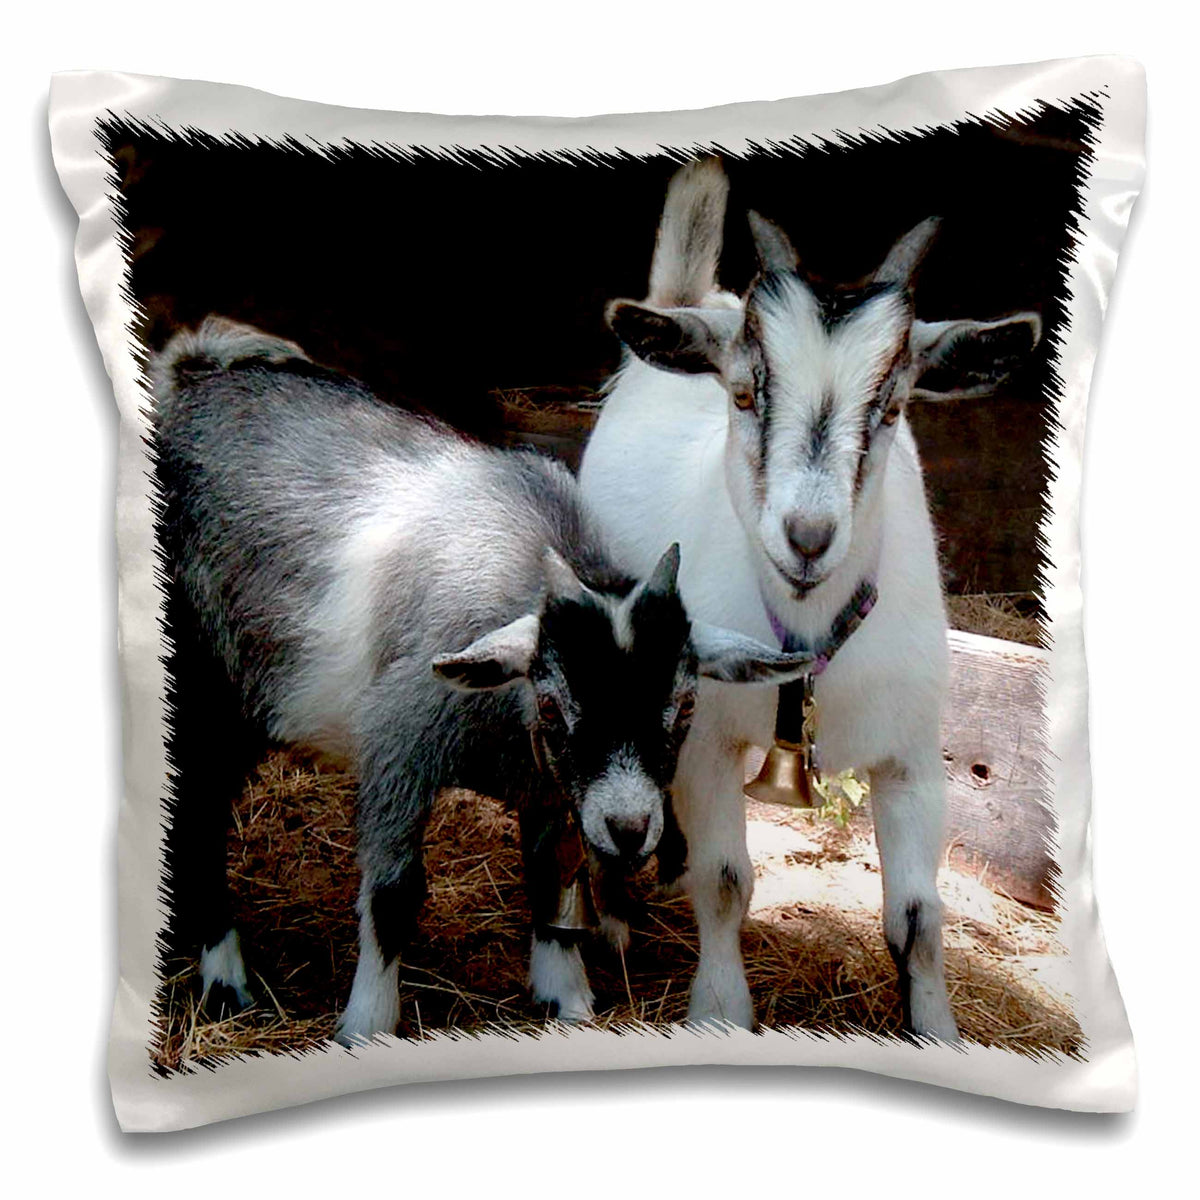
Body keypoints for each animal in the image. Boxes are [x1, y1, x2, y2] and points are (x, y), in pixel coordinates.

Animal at [150, 316, 811, 1043]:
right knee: (198, 814)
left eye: (685, 707)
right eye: (552, 708)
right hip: (206, 683)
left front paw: (564, 994)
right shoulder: (399, 749)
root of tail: (198, 378)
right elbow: (393, 895)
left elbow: (553, 877)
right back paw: (223, 972)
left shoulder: (550, 787)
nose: (631, 828)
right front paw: (367, 1021)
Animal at [578, 160, 1042, 1038]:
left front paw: (936, 1028)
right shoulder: (711, 741)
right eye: (743, 396)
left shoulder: (912, 755)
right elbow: (726, 882)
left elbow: (921, 919)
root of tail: (694, 299)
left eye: (893, 408)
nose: (807, 537)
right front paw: (720, 1011)